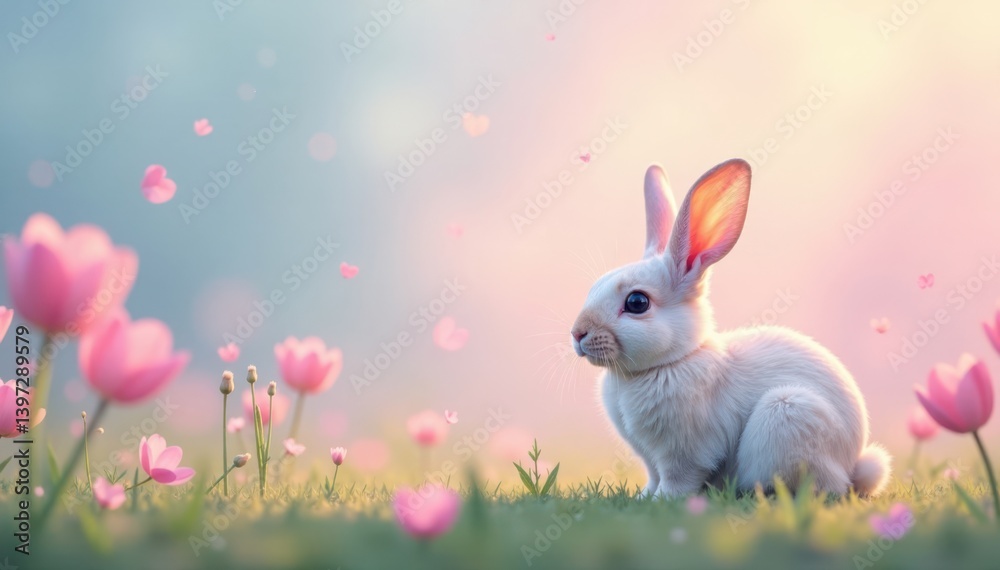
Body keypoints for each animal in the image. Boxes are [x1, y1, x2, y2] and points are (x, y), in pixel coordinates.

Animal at [570, 158, 891, 498]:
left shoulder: (684, 454)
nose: (577, 334)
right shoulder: (651, 459)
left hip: (788, 413)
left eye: (636, 302)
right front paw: (645, 497)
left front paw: (662, 501)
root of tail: (852, 465)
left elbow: (677, 479)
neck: (671, 362)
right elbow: (654, 476)